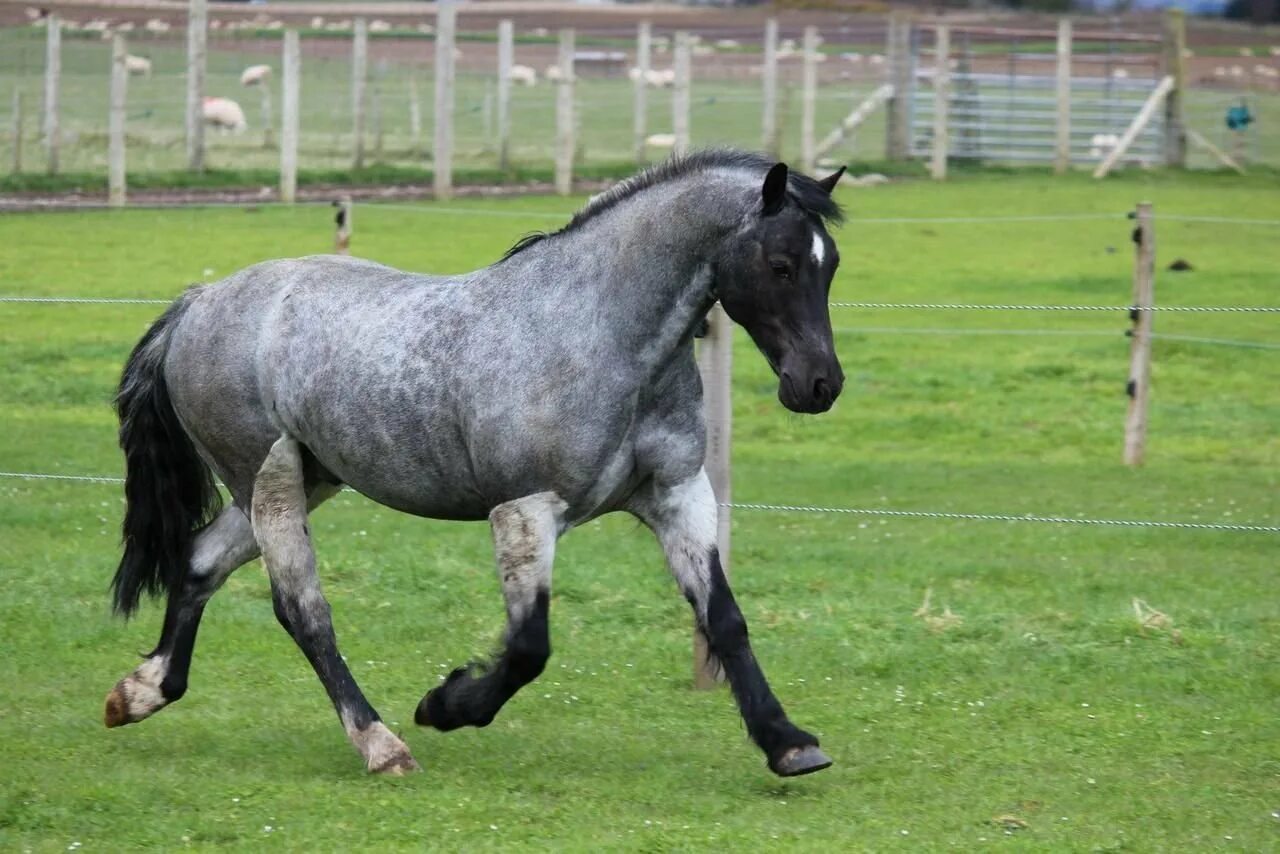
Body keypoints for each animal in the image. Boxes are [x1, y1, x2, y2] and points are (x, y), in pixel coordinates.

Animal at [104, 148, 844, 783]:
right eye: (781, 264)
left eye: (830, 263)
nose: (819, 385)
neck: (600, 335)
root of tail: (197, 303)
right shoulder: (525, 509)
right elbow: (528, 648)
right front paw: (445, 704)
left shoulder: (678, 495)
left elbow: (724, 619)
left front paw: (789, 744)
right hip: (270, 481)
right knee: (303, 610)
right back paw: (381, 744)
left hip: (300, 481)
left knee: (200, 562)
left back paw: (140, 692)